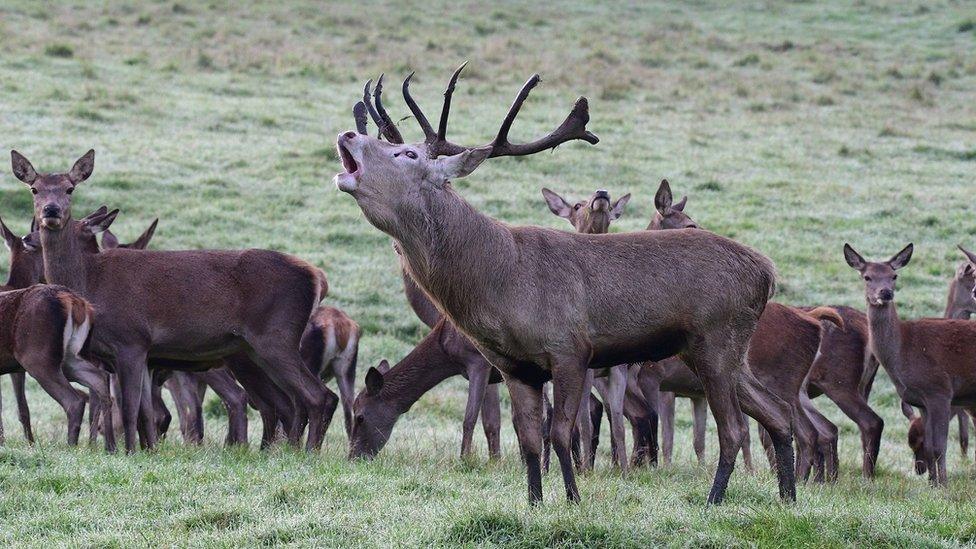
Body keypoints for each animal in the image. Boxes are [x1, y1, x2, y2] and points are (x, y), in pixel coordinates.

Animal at [10, 149, 340, 450]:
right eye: (34, 188)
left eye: (70, 188)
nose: (51, 211)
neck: (90, 283)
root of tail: (317, 277)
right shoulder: (139, 352)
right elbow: (144, 411)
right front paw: (147, 451)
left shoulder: (131, 339)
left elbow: (130, 409)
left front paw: (129, 452)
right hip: (254, 348)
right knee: (290, 401)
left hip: (275, 335)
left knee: (318, 396)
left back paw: (306, 452)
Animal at [540, 186, 632, 468]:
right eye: (577, 205)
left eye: (611, 203)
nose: (601, 193)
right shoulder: (585, 368)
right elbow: (583, 422)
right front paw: (586, 471)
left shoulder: (618, 370)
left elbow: (618, 425)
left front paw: (624, 470)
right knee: (546, 417)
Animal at [840, 244, 976, 484]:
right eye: (867, 276)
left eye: (894, 275)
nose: (885, 292)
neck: (904, 351)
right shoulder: (921, 401)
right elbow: (930, 446)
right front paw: (934, 484)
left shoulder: (940, 391)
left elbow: (940, 447)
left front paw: (944, 485)